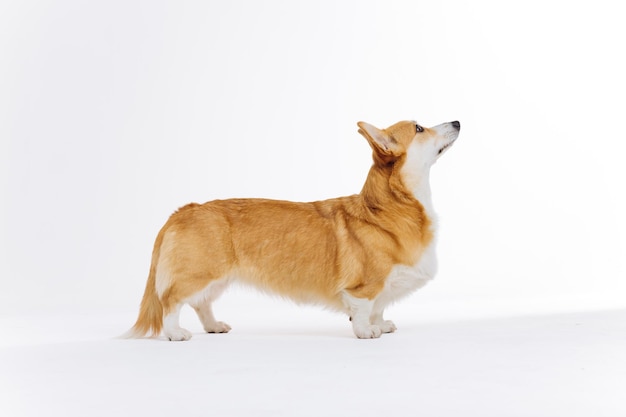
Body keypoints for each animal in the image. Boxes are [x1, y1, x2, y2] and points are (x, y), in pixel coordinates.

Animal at [125, 118, 458, 340]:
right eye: (419, 128)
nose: (456, 120)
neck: (389, 206)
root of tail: (183, 210)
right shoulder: (364, 286)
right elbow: (365, 310)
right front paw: (367, 331)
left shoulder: (383, 288)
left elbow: (379, 307)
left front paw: (382, 324)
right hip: (199, 274)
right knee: (171, 302)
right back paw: (175, 333)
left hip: (217, 278)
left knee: (201, 304)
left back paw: (214, 327)